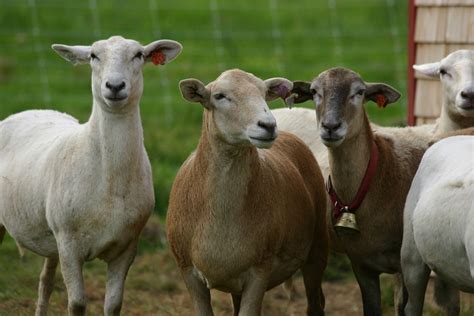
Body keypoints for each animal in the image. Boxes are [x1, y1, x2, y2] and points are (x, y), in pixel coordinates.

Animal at [0, 35, 181, 314]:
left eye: (139, 55)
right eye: (94, 55)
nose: (115, 85)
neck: (110, 181)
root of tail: (31, 110)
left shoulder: (127, 248)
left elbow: (114, 304)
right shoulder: (69, 246)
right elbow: (77, 303)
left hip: (51, 240)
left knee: (45, 283)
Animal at [168, 69, 330, 316]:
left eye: (264, 93)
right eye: (220, 96)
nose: (268, 125)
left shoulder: (260, 271)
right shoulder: (187, 270)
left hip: (317, 246)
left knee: (316, 302)